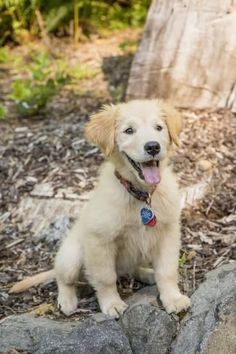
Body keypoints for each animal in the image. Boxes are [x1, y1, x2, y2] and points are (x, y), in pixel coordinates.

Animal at [10, 99, 190, 318]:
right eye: (129, 130)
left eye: (159, 128)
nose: (153, 146)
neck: (140, 194)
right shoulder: (100, 241)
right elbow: (106, 278)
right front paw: (112, 303)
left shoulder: (168, 234)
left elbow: (167, 271)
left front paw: (173, 298)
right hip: (71, 256)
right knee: (64, 279)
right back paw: (67, 301)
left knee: (131, 268)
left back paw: (147, 273)